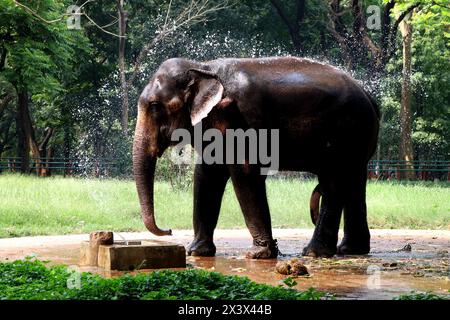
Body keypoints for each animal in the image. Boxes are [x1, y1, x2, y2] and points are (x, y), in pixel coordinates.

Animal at [134, 56, 380, 258]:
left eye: (154, 106)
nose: (168, 230)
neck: (203, 68)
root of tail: (369, 96)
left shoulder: (239, 118)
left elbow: (244, 173)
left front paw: (258, 254)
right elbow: (206, 175)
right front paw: (196, 252)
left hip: (344, 133)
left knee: (333, 183)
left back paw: (314, 253)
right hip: (357, 139)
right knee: (354, 182)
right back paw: (350, 250)